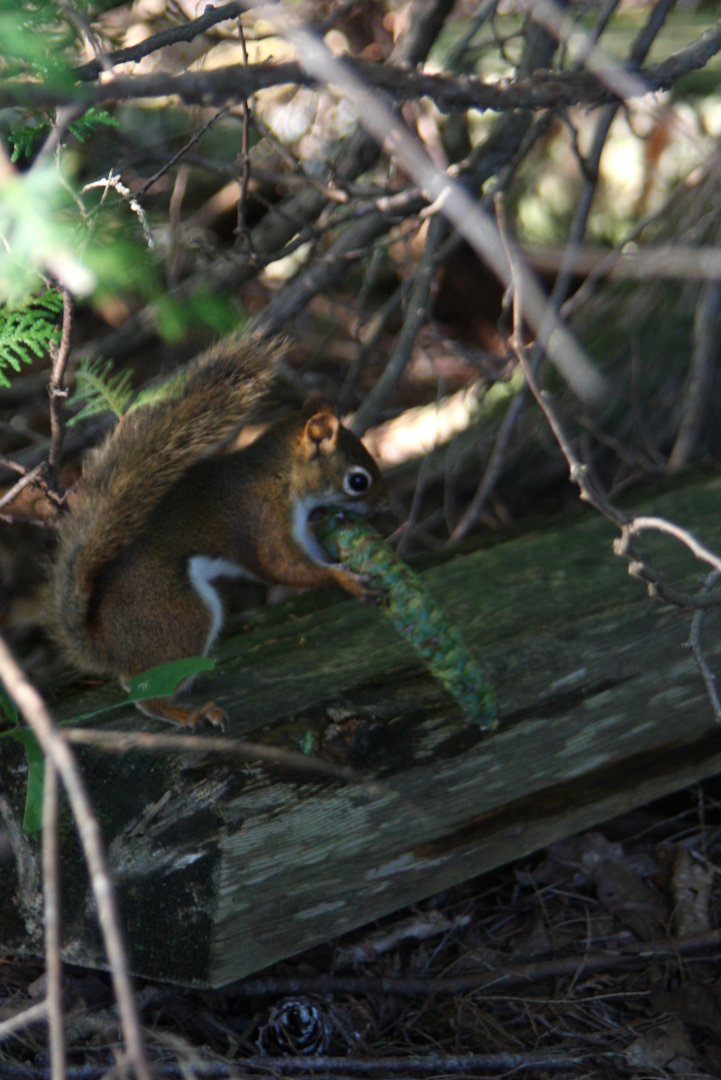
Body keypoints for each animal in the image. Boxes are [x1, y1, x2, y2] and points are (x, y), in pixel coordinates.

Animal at [48, 333, 387, 729]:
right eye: (358, 481)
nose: (383, 505)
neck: (279, 475)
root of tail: (103, 644)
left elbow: (310, 557)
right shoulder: (259, 517)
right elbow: (279, 565)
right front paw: (345, 580)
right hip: (180, 613)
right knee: (145, 697)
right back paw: (192, 713)